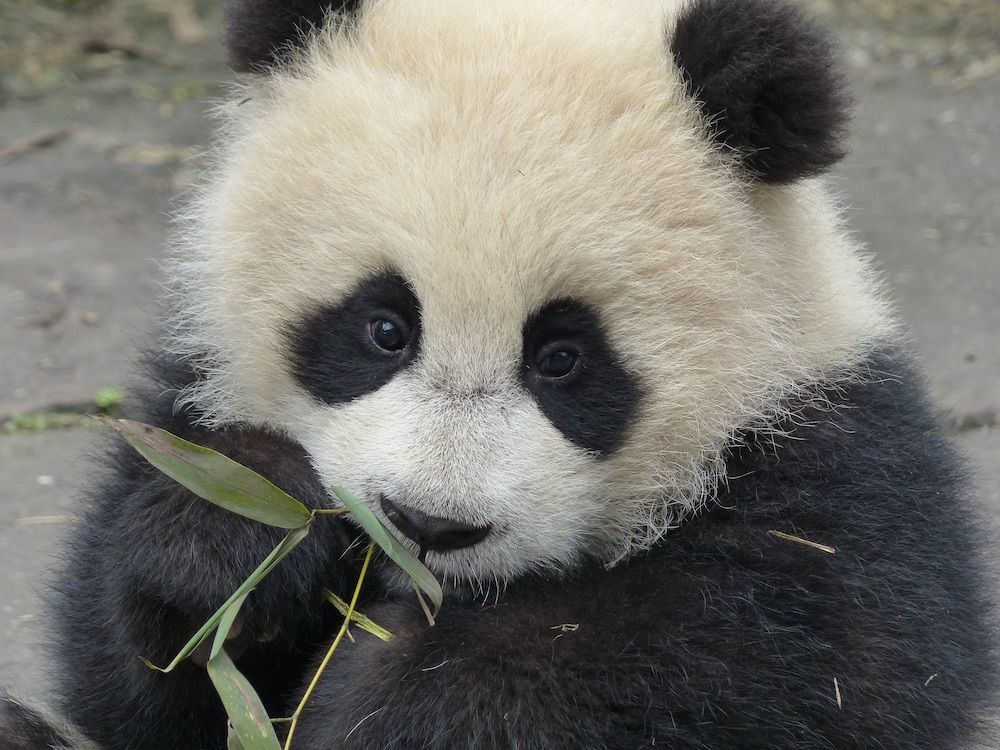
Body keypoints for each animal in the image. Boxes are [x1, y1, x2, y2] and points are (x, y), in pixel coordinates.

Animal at [3, 0, 996, 748]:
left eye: (563, 360)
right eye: (383, 328)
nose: (429, 525)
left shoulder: (832, 461)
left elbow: (783, 664)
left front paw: (399, 697)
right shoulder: (190, 385)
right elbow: (137, 682)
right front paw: (237, 538)